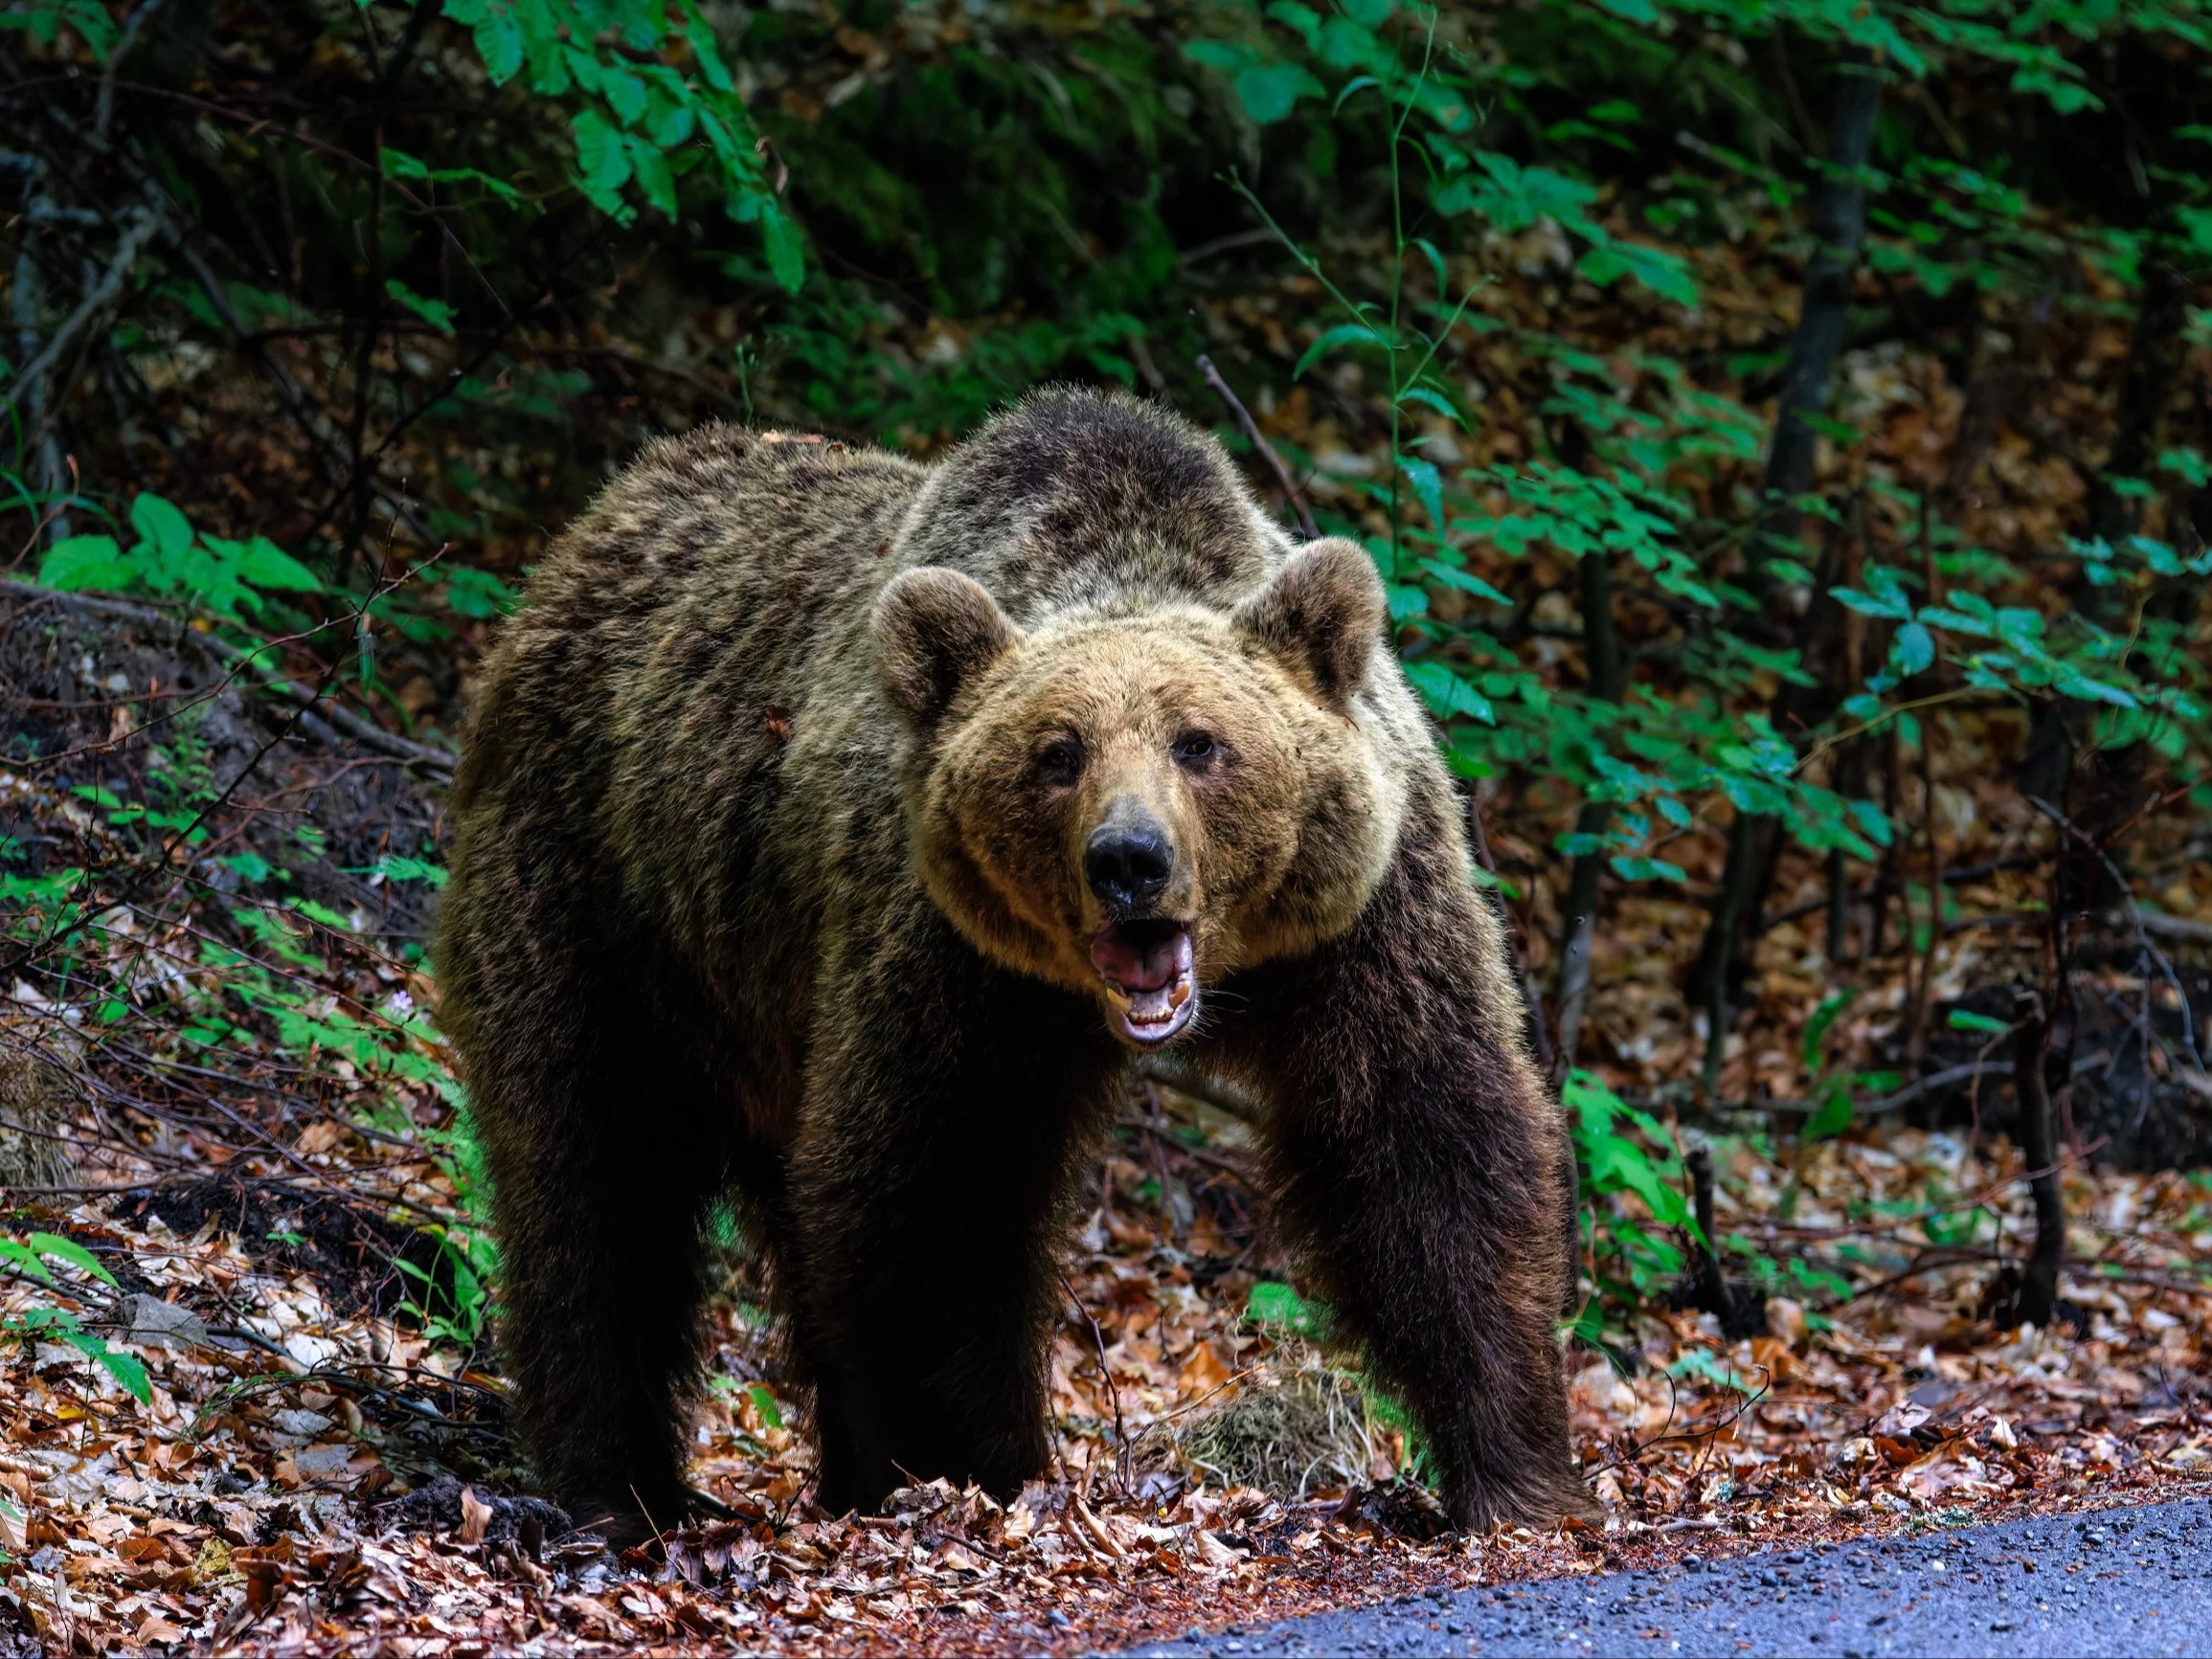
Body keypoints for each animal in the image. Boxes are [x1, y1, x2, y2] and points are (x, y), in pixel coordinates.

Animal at [431, 382, 1601, 1539]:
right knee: (593, 1177)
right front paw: (975, 1465)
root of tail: (586, 534)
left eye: (1200, 742)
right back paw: (621, 1486)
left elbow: (1428, 1142)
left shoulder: (1359, 923)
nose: (1130, 860)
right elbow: (939, 1190)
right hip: (598, 901)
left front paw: (1514, 1472)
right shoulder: (952, 958)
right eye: (1058, 753)